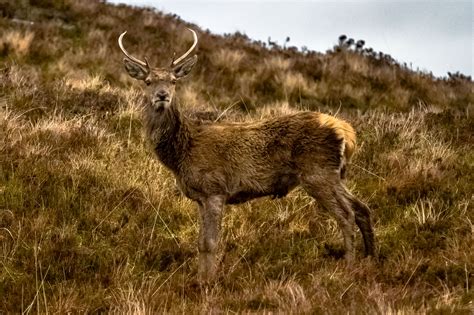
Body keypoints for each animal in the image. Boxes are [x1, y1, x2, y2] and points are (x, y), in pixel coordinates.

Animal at [117, 28, 374, 282]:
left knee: (346, 214)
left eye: (173, 81)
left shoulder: (215, 189)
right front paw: (199, 280)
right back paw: (371, 258)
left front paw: (208, 283)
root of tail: (346, 131)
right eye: (148, 82)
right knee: (362, 208)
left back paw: (348, 268)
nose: (162, 95)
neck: (181, 154)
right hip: (333, 174)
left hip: (317, 172)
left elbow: (210, 242)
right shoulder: (200, 197)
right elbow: (200, 242)